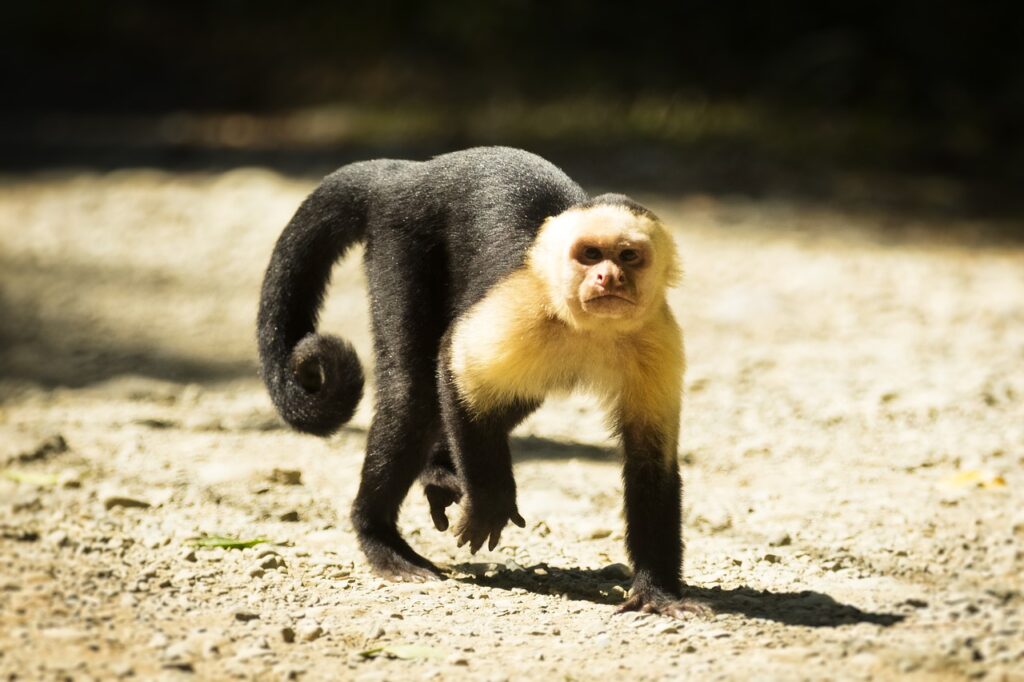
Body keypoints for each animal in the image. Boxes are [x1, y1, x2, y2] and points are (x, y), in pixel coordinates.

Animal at [258, 147, 700, 617]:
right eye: (591, 254)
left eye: (628, 257)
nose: (607, 277)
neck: (590, 329)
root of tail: (409, 173)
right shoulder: (524, 305)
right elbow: (455, 362)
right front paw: (490, 501)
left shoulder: (657, 339)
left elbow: (650, 461)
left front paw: (658, 591)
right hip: (403, 239)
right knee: (414, 391)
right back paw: (379, 536)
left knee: (506, 398)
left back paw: (437, 470)